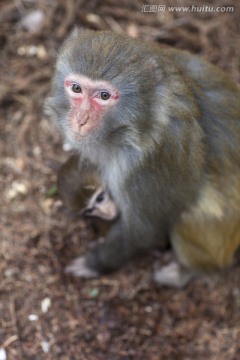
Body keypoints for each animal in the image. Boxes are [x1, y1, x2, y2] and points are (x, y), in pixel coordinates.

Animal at [45, 28, 240, 286]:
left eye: (104, 95)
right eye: (76, 89)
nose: (80, 120)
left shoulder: (154, 157)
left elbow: (144, 229)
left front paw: (94, 264)